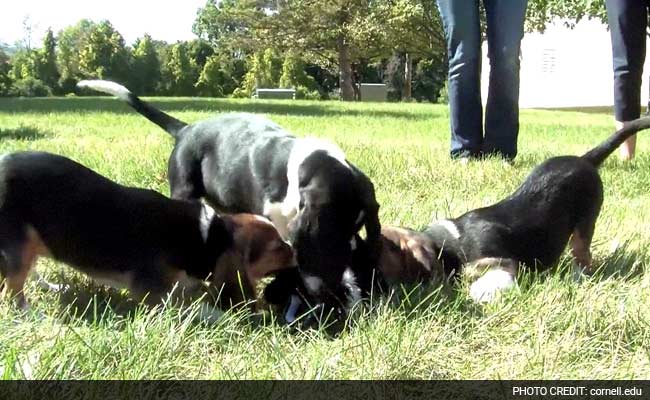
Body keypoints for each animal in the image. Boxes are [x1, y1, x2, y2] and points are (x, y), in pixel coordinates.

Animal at [0, 152, 292, 310]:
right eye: (277, 246)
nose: (297, 251)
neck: (208, 236)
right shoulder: (152, 293)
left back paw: (51, 286)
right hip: (19, 243)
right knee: (12, 289)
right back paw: (30, 313)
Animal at [76, 79, 380, 314]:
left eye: (357, 228)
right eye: (335, 230)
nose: (333, 290)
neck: (301, 167)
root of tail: (186, 129)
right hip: (185, 188)